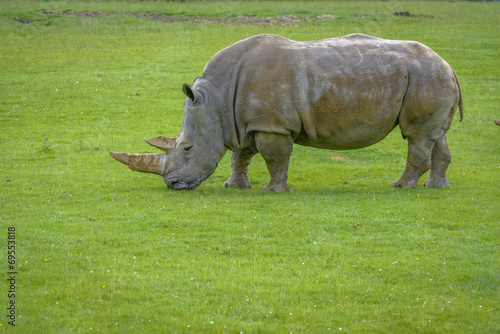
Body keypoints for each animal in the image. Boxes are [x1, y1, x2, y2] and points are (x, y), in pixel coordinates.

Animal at [111, 34, 462, 192]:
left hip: (425, 76)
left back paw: (401, 187)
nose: (172, 184)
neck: (215, 101)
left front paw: (273, 191)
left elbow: (274, 158)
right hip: (430, 77)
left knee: (416, 135)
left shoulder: (272, 124)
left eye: (187, 149)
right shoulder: (246, 121)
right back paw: (436, 187)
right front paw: (235, 187)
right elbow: (241, 154)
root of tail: (449, 64)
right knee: (436, 136)